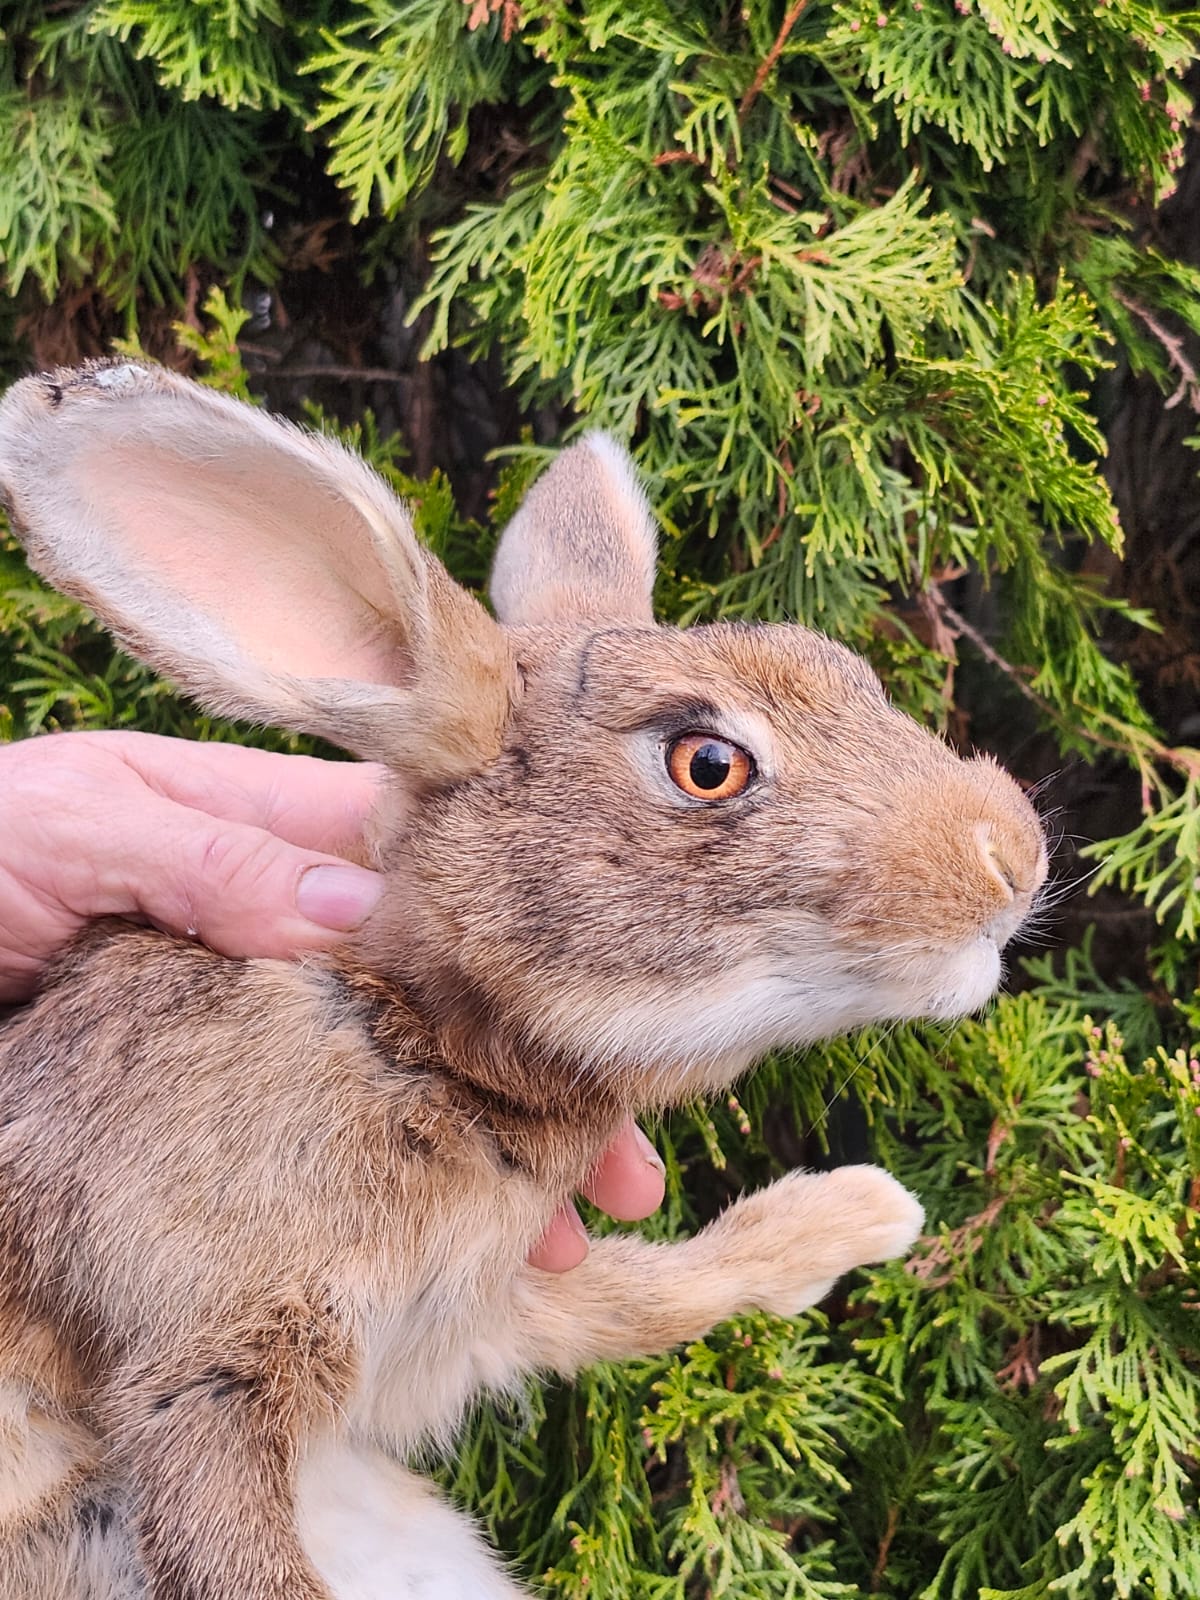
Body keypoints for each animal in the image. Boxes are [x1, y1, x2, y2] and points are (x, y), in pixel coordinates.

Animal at [0, 358, 1047, 1600]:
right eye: (707, 763)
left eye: (844, 667)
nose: (1013, 857)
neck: (408, 1036)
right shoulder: (201, 1349)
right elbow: (227, 1538)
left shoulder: (463, 1317)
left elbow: (638, 1297)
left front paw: (851, 1216)